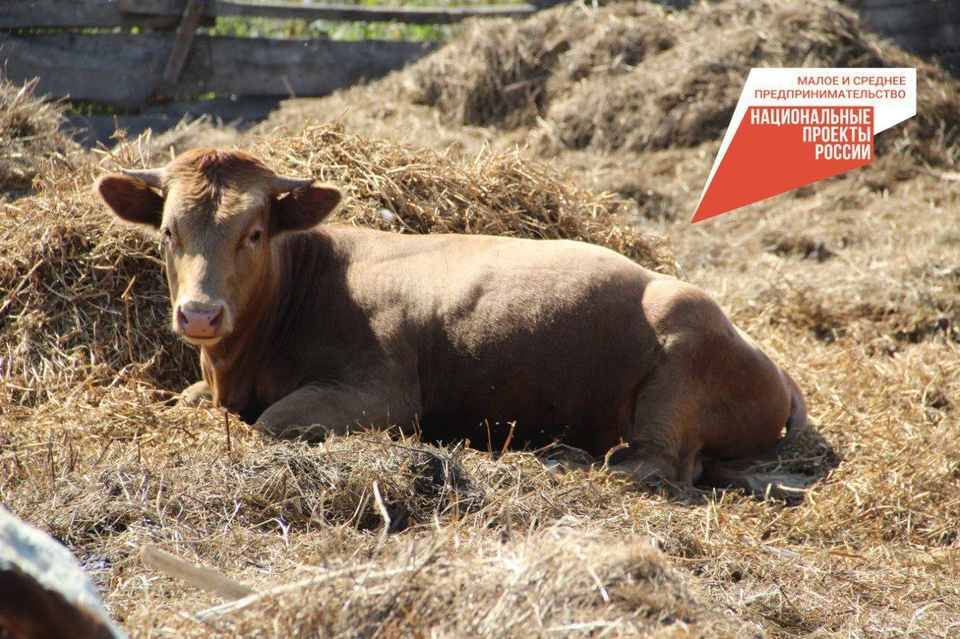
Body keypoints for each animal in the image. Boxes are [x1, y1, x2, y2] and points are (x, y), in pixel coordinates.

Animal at [94, 151, 808, 496]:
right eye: (167, 231)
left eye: (255, 232)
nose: (200, 313)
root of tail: (770, 361)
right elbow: (186, 400)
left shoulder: (379, 394)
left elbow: (273, 424)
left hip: (681, 347)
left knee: (658, 464)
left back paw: (562, 462)